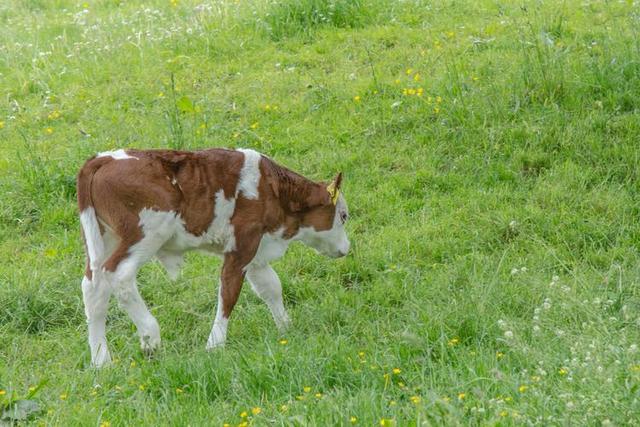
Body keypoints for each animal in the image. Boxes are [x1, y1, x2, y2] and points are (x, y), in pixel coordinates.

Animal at [77, 148, 352, 368]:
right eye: (344, 215)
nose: (346, 249)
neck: (272, 190)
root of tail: (103, 158)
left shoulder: (256, 251)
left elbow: (271, 288)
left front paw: (286, 328)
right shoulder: (241, 247)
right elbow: (228, 294)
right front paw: (215, 344)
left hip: (104, 237)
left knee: (94, 287)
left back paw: (101, 361)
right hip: (147, 232)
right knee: (119, 274)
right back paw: (150, 337)